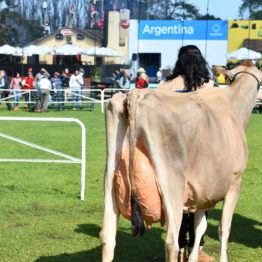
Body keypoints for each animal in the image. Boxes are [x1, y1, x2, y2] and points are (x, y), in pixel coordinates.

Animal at [99, 63, 260, 262]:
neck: (233, 107)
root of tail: (136, 94)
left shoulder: (200, 194)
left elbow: (200, 228)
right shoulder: (235, 183)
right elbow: (224, 229)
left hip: (110, 178)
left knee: (107, 237)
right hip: (171, 183)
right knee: (171, 242)